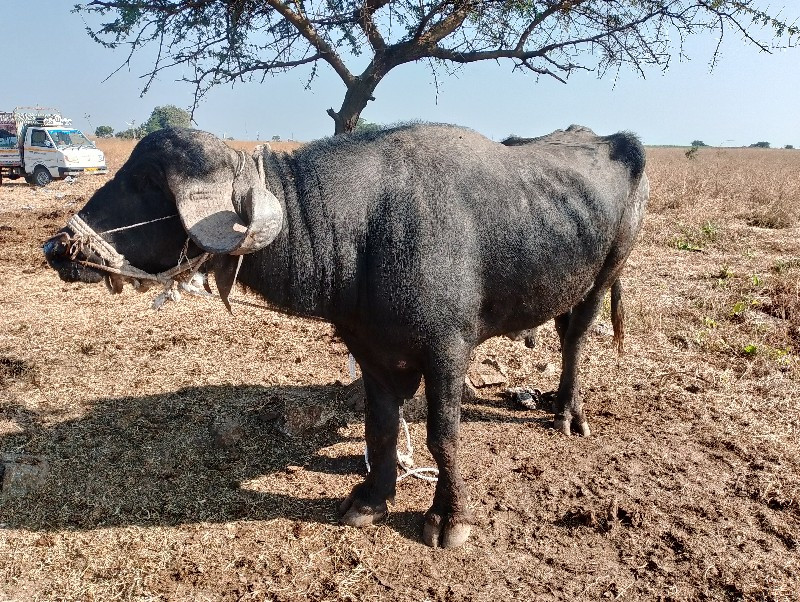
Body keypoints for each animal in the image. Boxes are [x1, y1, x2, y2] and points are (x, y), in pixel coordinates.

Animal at [43, 123, 648, 548]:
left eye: (148, 184)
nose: (57, 247)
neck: (368, 229)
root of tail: (619, 143)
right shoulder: (371, 352)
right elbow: (380, 430)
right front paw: (372, 499)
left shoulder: (448, 351)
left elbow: (443, 437)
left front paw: (448, 517)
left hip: (606, 275)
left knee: (575, 340)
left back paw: (568, 412)